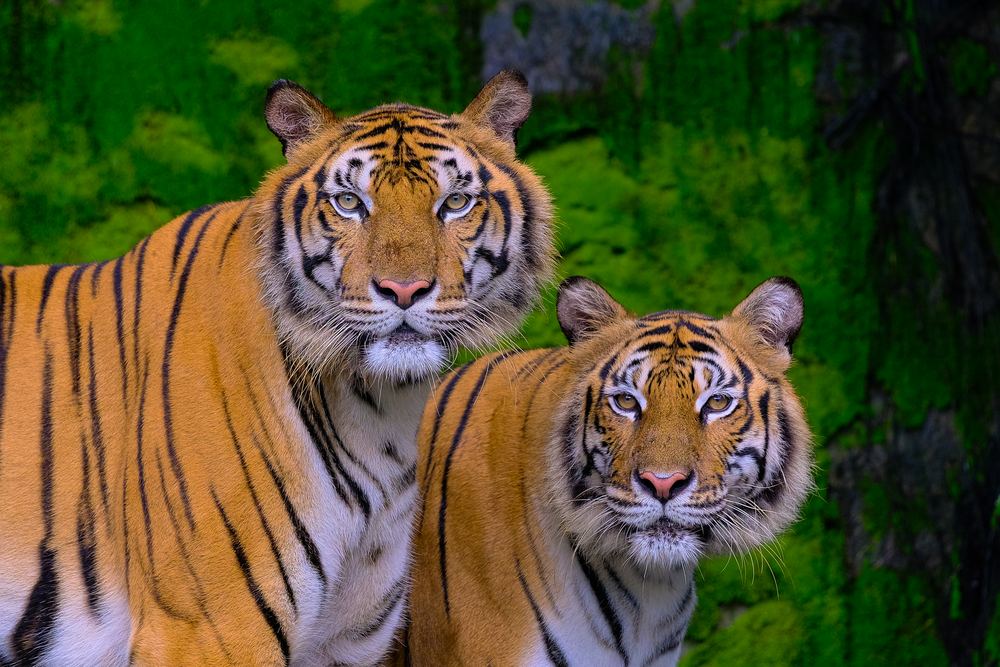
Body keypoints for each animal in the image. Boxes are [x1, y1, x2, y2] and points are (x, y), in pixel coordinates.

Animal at [0, 69, 554, 665]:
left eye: (455, 202)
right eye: (349, 202)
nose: (403, 290)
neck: (383, 413)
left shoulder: (345, 640)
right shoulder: (210, 627)